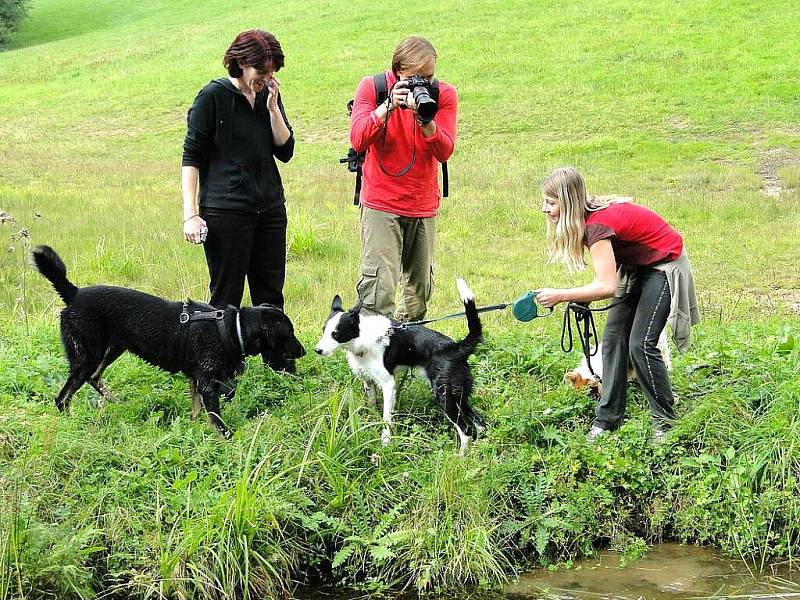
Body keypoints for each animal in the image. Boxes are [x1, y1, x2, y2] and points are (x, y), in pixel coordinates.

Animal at [32, 244, 304, 436]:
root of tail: (73, 293)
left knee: (94, 378)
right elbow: (217, 421)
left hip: (112, 349)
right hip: (87, 356)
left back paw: (115, 402)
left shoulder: (196, 381)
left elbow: (197, 413)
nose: (304, 351)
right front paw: (228, 439)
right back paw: (74, 424)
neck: (230, 328)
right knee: (63, 397)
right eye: (289, 333)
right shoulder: (207, 384)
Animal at [316, 278, 484, 452]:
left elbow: (386, 418)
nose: (317, 350)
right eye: (323, 330)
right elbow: (372, 404)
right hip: (459, 396)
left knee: (466, 430)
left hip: (445, 396)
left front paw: (385, 442)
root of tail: (458, 347)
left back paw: (461, 456)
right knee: (479, 423)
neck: (365, 337)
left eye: (336, 334)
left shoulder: (388, 385)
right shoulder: (368, 381)